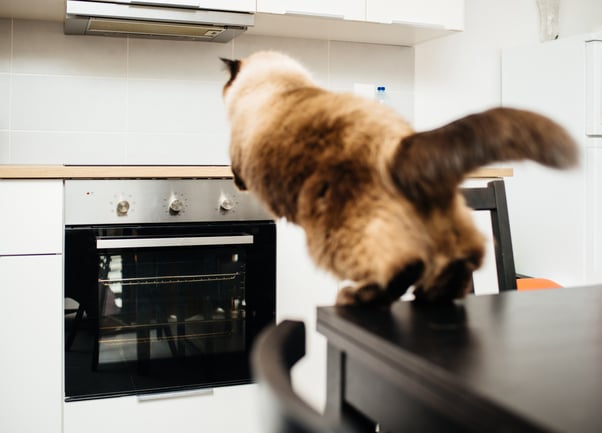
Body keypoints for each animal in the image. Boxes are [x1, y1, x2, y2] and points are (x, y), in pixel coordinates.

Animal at [220, 50, 576, 306]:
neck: (280, 83)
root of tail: (400, 143)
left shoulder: (238, 158)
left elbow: (236, 172)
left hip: (334, 238)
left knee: (403, 265)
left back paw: (358, 297)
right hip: (448, 224)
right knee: (463, 258)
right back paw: (432, 297)